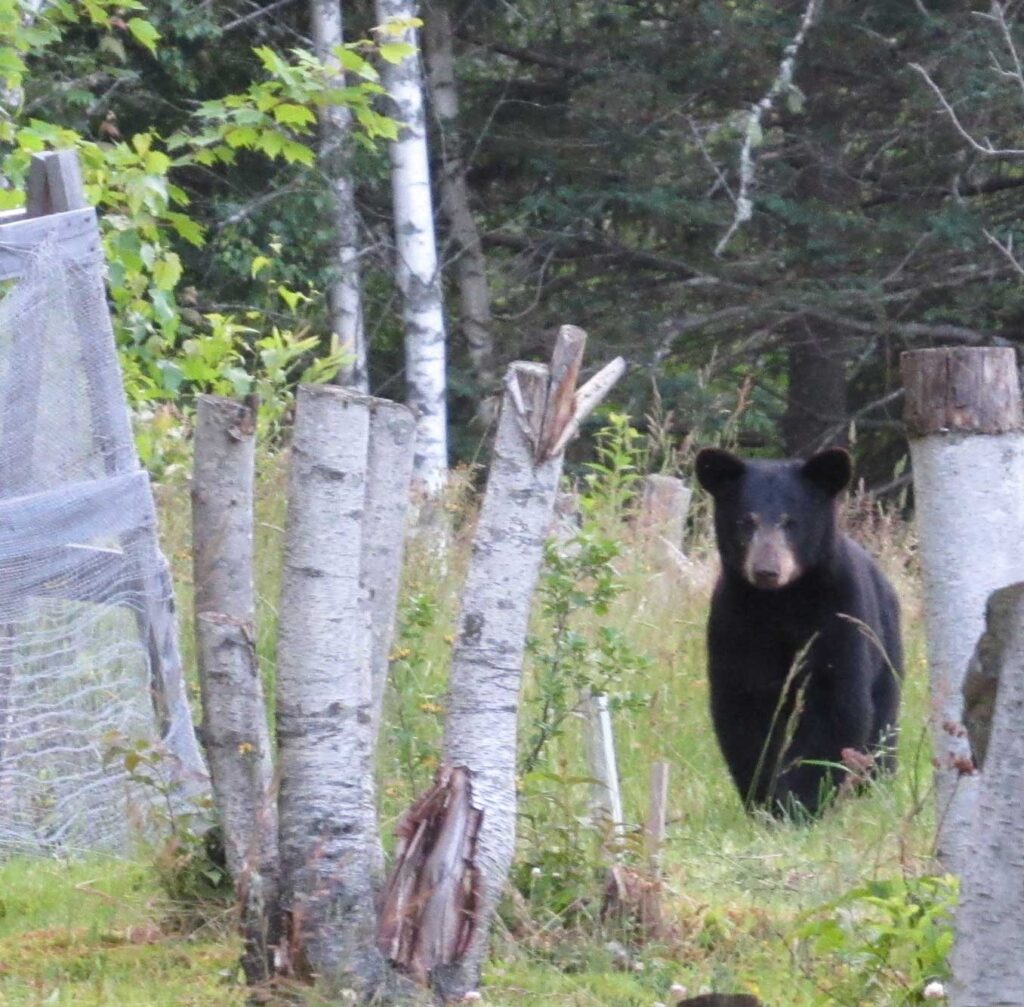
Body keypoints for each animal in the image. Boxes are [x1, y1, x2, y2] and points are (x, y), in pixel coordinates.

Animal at [696, 448, 905, 819]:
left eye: (791, 522)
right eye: (746, 521)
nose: (766, 570)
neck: (784, 600)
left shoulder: (839, 611)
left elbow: (834, 700)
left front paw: (798, 802)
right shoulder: (738, 620)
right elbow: (748, 702)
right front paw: (763, 797)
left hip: (885, 644)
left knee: (882, 723)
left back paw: (873, 788)